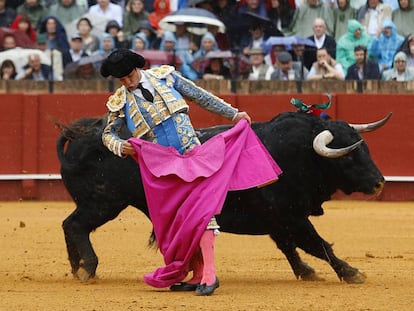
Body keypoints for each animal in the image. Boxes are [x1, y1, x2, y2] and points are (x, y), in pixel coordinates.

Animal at [55, 111, 388, 286]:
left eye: (366, 148)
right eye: (348, 156)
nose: (379, 183)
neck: (299, 153)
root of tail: (83, 132)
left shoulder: (279, 219)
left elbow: (290, 247)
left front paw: (306, 272)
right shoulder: (290, 216)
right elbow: (317, 244)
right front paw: (351, 272)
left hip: (98, 203)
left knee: (69, 224)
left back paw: (76, 268)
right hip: (103, 202)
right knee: (76, 225)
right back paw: (88, 268)